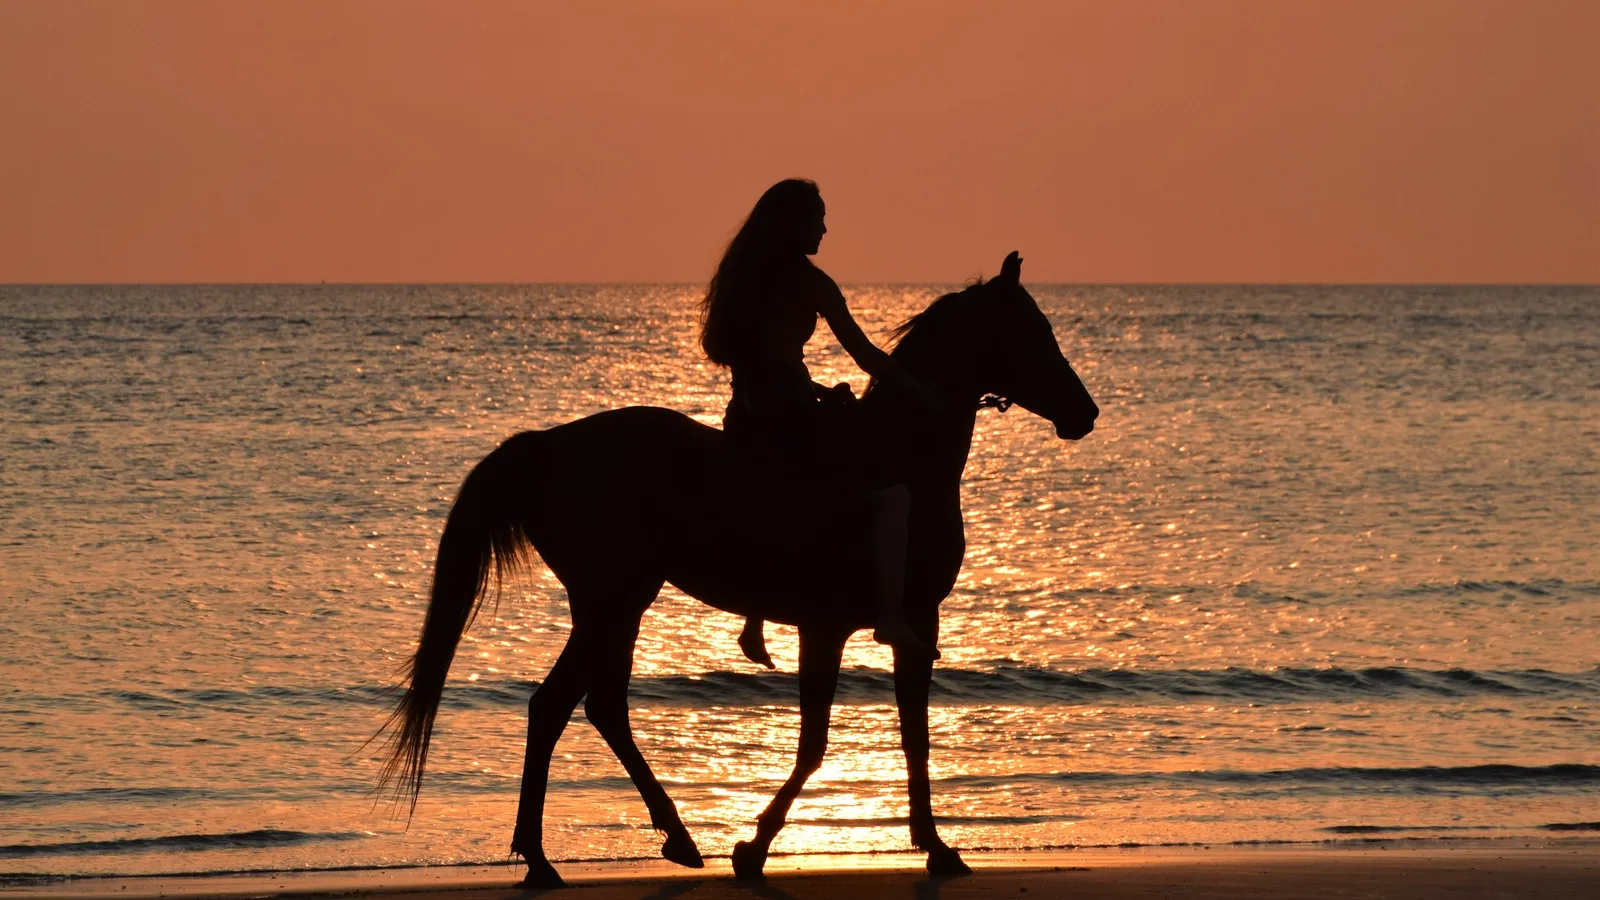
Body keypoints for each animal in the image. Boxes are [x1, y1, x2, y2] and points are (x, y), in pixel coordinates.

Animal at [375, 252, 1098, 887]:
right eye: (1032, 331)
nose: (1085, 412)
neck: (900, 456)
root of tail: (551, 445)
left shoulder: (915, 625)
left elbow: (914, 739)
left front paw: (937, 847)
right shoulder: (829, 628)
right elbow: (814, 743)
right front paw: (755, 846)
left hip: (618, 605)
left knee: (600, 707)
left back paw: (672, 838)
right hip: (613, 600)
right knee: (554, 707)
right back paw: (545, 857)